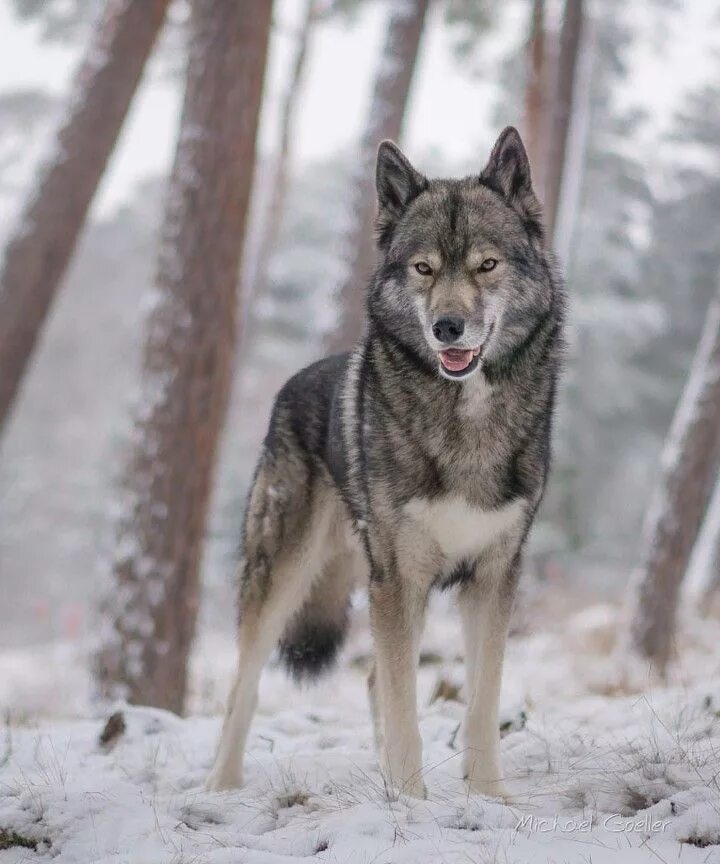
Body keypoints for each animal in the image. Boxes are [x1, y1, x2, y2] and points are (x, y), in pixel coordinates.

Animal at [205, 126, 564, 796]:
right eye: (424, 268)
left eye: (486, 264)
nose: (448, 326)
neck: (465, 417)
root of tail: (292, 382)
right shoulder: (399, 580)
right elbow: (404, 709)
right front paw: (412, 802)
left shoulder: (493, 578)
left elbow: (480, 704)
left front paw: (487, 798)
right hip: (283, 576)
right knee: (244, 684)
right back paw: (221, 784)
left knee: (370, 678)